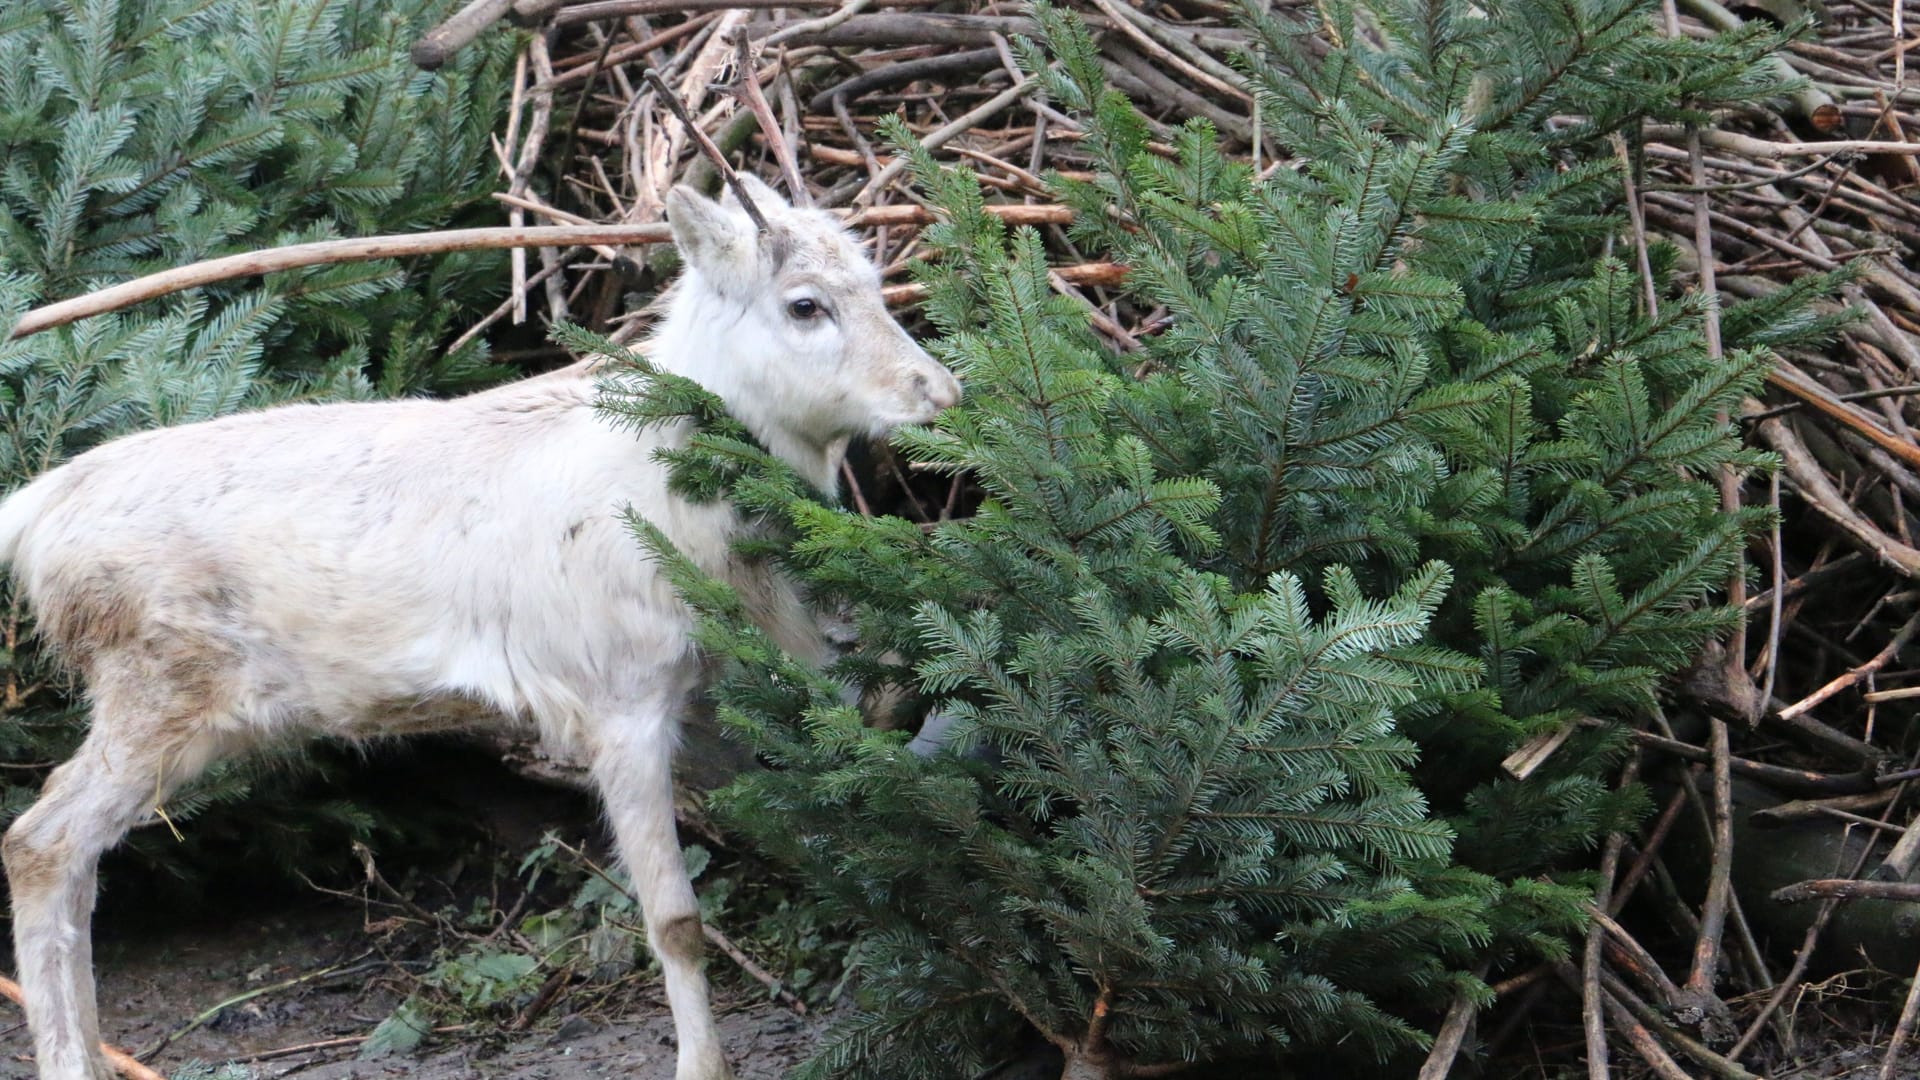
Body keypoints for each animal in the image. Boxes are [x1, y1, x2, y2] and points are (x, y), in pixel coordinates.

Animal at [0, 176, 956, 1076]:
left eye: (876, 283)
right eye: (805, 304)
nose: (939, 391)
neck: (700, 532)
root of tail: (33, 515)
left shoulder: (711, 692)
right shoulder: (618, 694)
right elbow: (675, 917)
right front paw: (702, 1065)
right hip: (154, 686)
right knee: (40, 839)